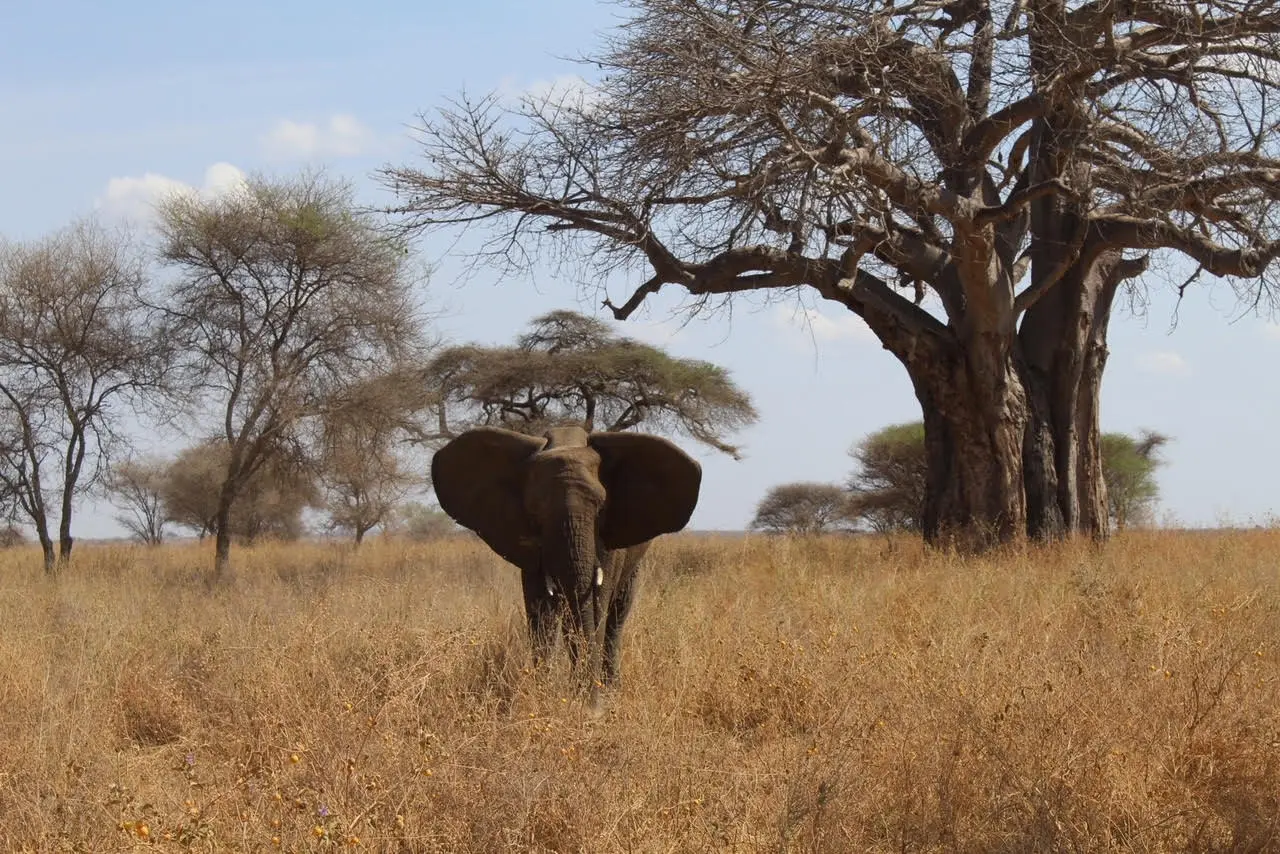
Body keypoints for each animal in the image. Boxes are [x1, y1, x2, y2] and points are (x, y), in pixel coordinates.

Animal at [431, 425, 702, 688]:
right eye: (535, 512)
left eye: (601, 508)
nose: (587, 697)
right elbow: (540, 611)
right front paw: (545, 691)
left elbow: (597, 605)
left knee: (616, 619)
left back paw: (612, 687)